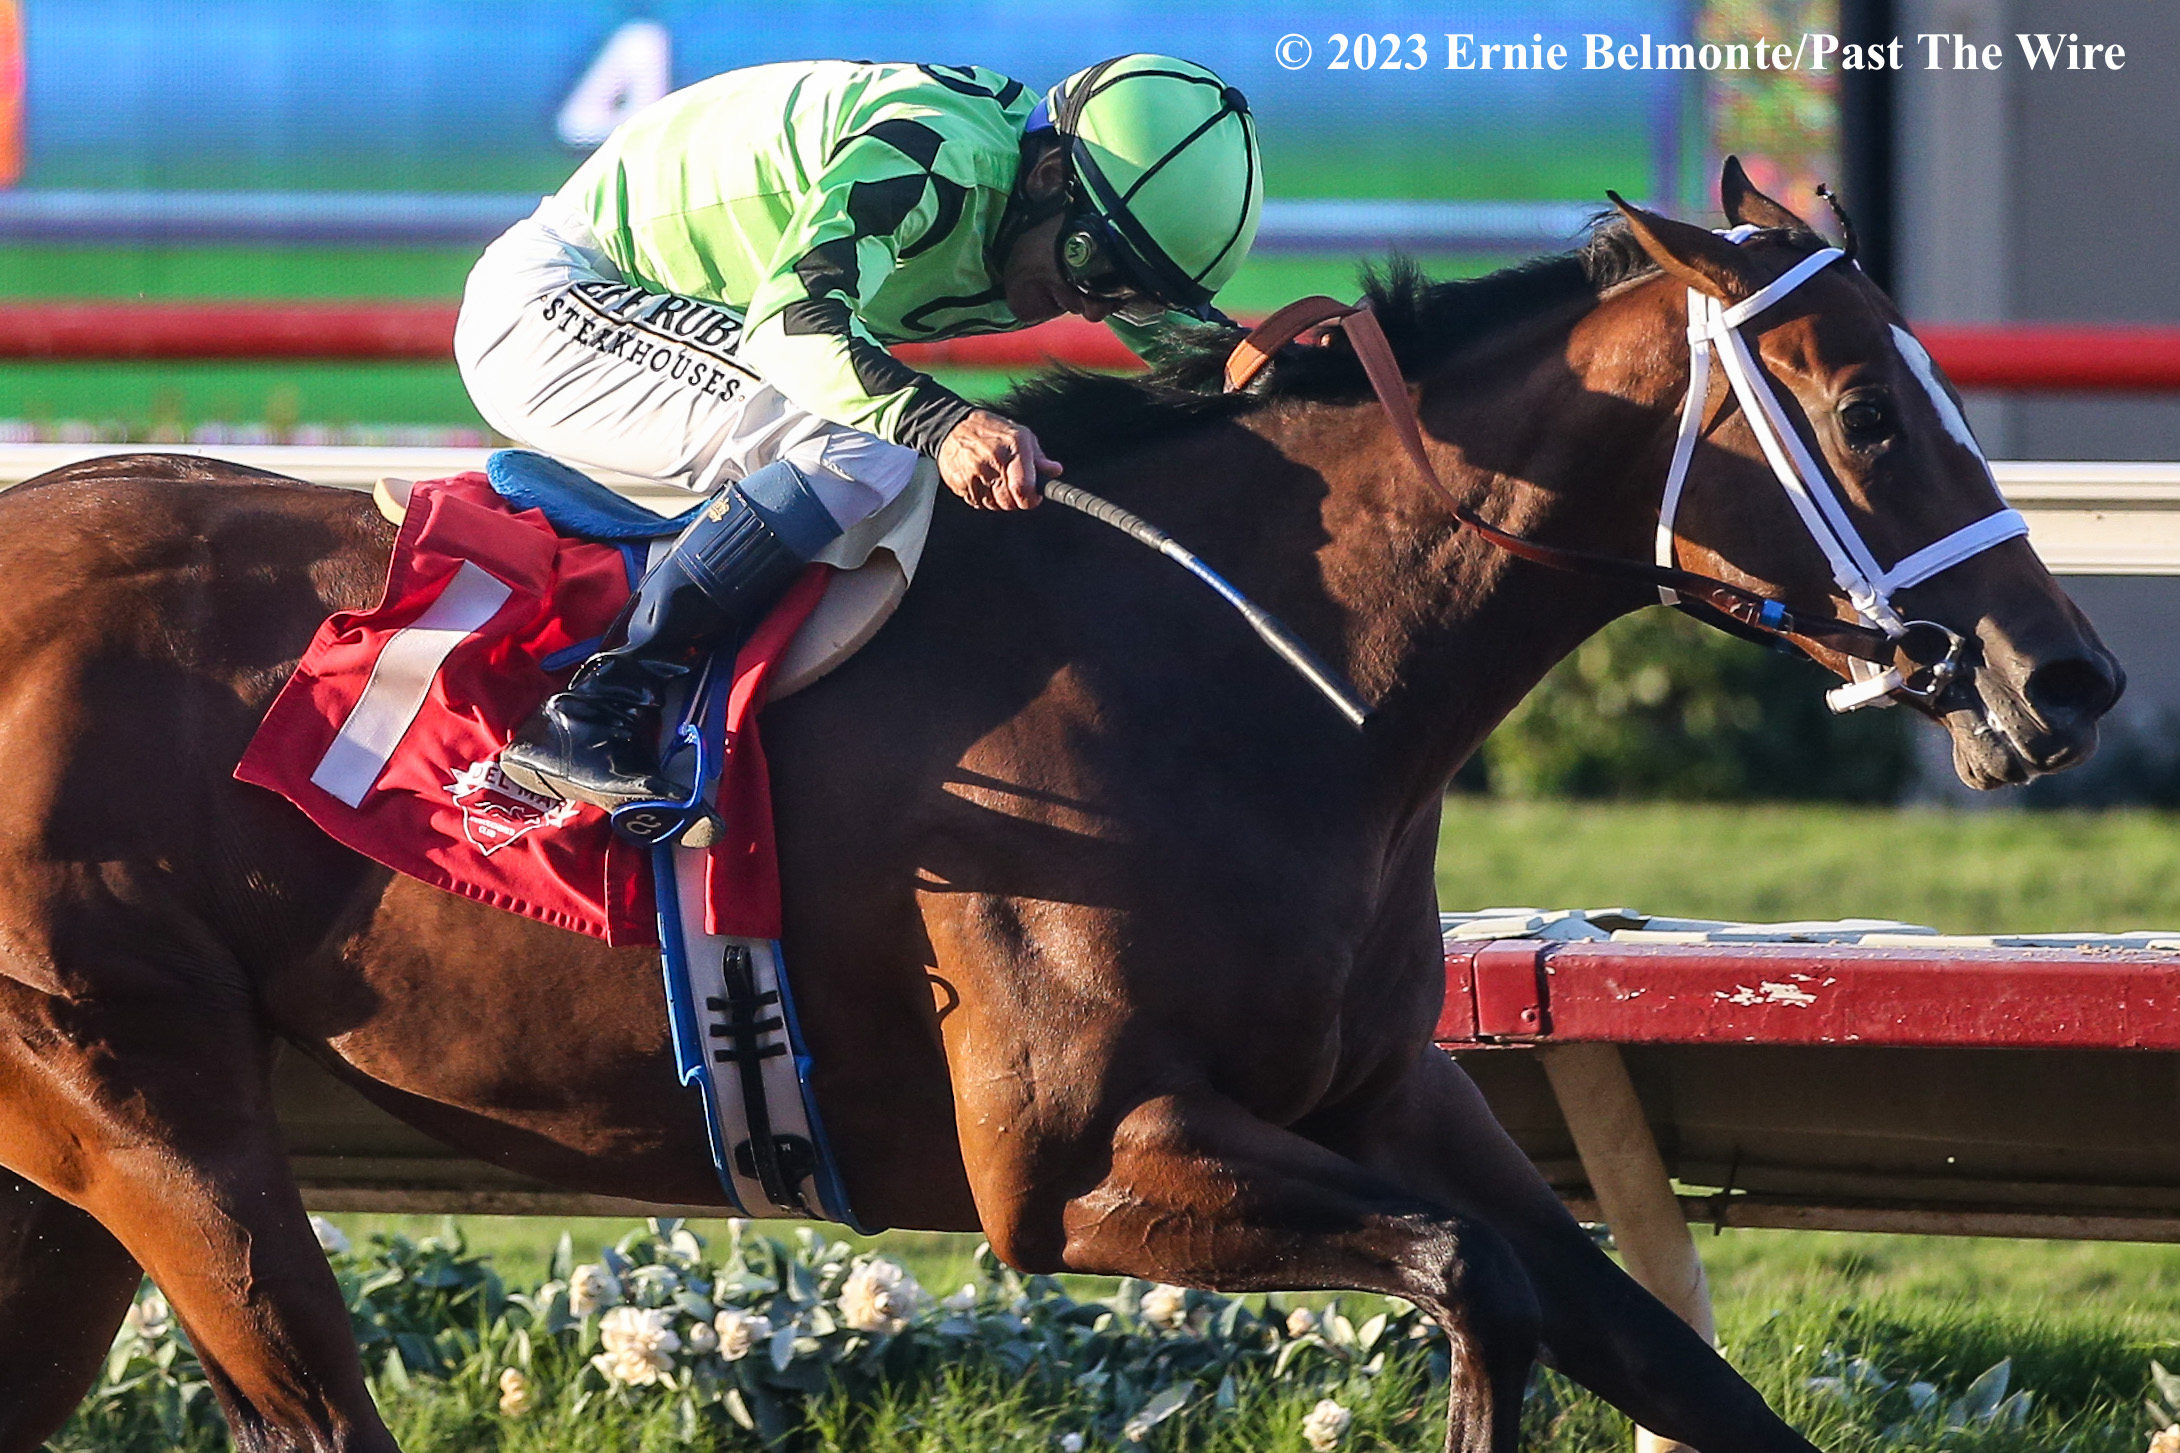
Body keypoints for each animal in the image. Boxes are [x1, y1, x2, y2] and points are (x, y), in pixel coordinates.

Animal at [0, 167, 2120, 1453]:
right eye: (1868, 413)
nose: (2067, 679)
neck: (1255, 667)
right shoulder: (1067, 1162)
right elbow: (1480, 1281)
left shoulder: (1389, 1092)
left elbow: (1642, 1335)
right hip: (144, 1088)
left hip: (75, 1149)